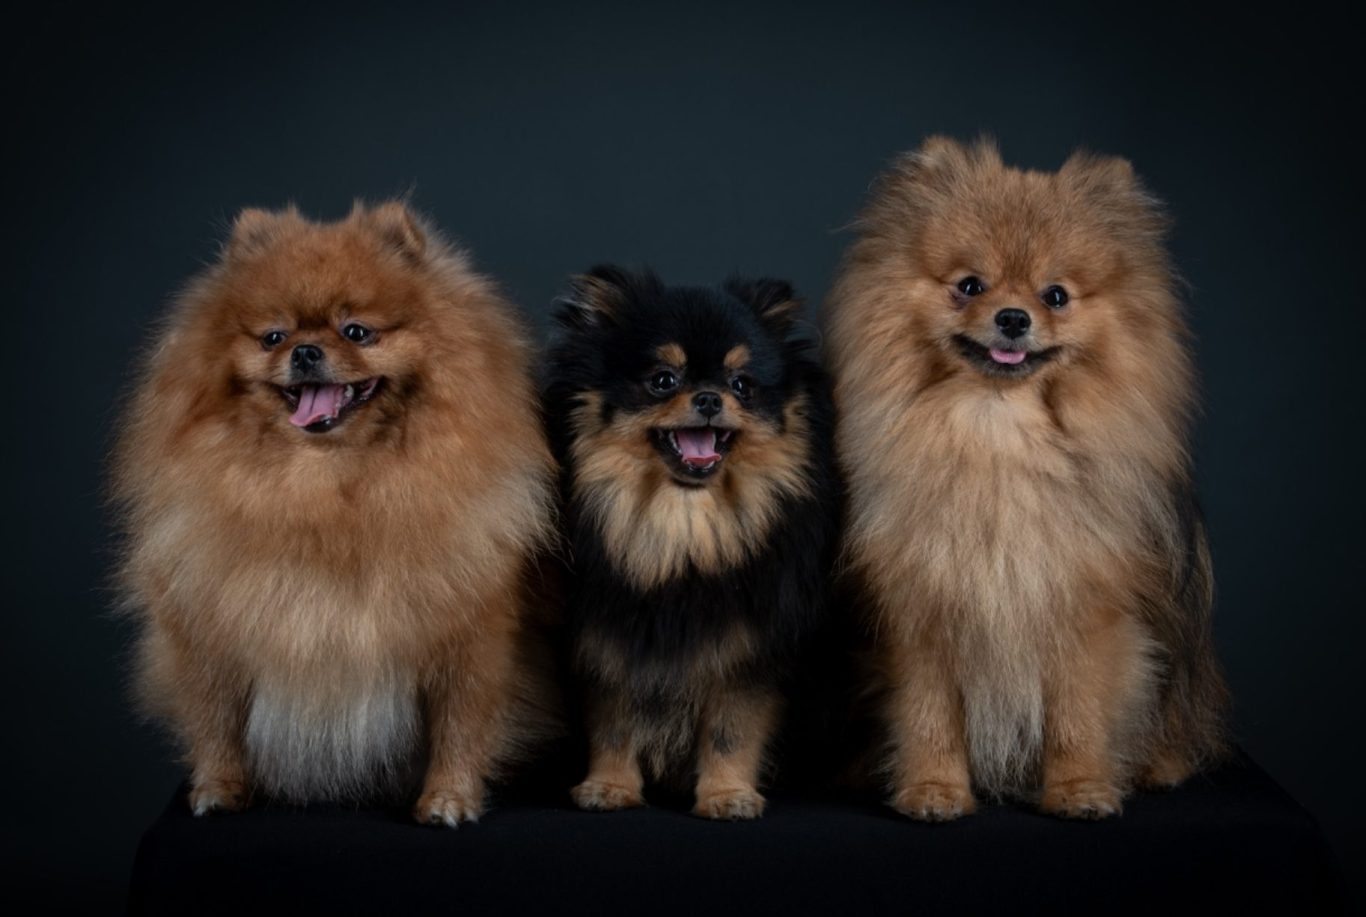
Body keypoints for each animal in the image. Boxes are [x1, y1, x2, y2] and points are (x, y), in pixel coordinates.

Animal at [109, 200, 551, 825]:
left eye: (356, 331)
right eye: (273, 336)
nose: (305, 351)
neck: (325, 488)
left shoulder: (470, 639)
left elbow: (461, 727)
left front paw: (448, 798)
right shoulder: (209, 634)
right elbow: (214, 721)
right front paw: (219, 788)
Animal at [540, 265, 835, 819]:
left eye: (742, 385)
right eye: (663, 380)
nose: (710, 398)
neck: (683, 525)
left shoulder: (747, 647)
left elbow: (730, 730)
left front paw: (727, 795)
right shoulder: (610, 638)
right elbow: (613, 724)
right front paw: (609, 787)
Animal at [825, 138, 1234, 825]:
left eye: (1057, 296)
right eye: (970, 285)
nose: (1014, 318)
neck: (998, 436)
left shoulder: (1083, 610)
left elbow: (1078, 716)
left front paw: (1080, 790)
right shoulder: (924, 613)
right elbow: (929, 716)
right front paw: (933, 791)